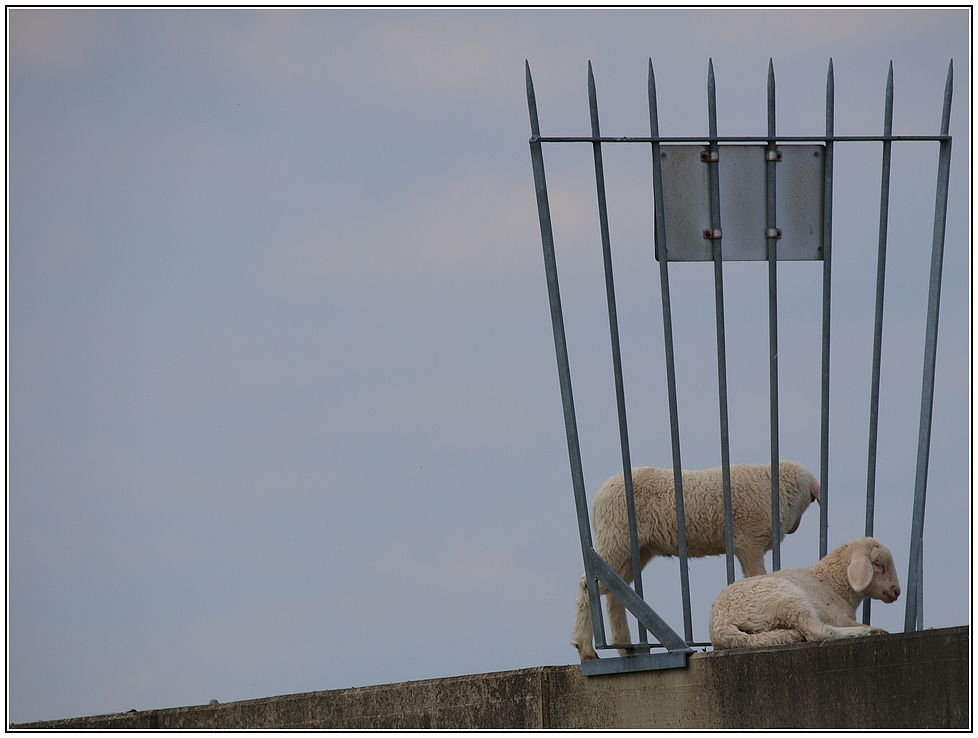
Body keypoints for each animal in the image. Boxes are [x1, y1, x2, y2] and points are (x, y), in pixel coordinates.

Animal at [568, 458, 820, 660]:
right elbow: (756, 576)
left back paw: (623, 645)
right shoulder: (748, 542)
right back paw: (586, 648)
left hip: (639, 548)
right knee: (588, 583)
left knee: (613, 587)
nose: (794, 529)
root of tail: (602, 490)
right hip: (616, 535)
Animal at [704, 536, 896, 648]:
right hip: (786, 598)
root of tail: (720, 626)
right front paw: (870, 629)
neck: (830, 582)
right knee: (816, 630)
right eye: (879, 564)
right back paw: (865, 632)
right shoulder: (833, 615)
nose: (896, 591)